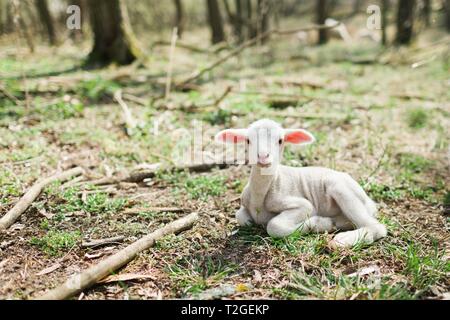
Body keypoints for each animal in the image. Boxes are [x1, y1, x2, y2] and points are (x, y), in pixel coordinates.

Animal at [215, 119, 386, 248]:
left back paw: (343, 240)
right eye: (248, 140)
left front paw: (318, 223)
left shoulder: (302, 205)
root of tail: (370, 202)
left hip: (341, 189)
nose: (263, 157)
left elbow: (274, 226)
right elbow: (241, 217)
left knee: (377, 228)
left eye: (280, 140)